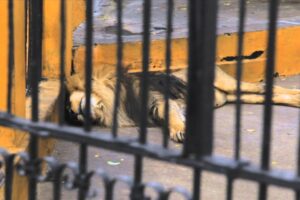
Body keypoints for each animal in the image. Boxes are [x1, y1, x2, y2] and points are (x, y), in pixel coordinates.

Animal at [65, 65, 300, 142]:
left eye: (76, 107)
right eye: (74, 115)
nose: (77, 115)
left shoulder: (160, 101)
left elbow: (173, 117)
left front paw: (180, 131)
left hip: (230, 84)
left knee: (272, 89)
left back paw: (297, 97)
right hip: (238, 96)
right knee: (272, 95)